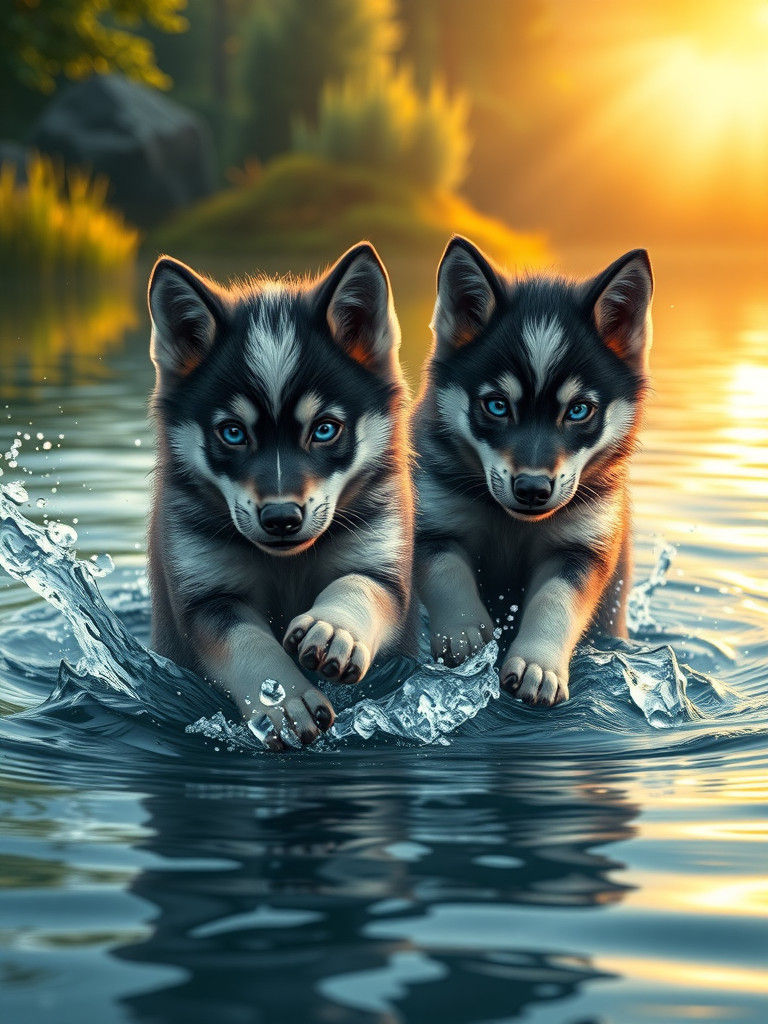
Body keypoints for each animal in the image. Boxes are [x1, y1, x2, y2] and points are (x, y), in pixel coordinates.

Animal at [147, 242, 414, 749]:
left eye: (325, 429)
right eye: (233, 433)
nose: (281, 518)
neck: (288, 562)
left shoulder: (383, 564)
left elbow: (358, 586)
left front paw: (333, 628)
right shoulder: (204, 599)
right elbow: (245, 641)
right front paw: (284, 698)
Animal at [413, 236, 653, 707]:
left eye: (578, 410)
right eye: (497, 405)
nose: (532, 488)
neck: (514, 523)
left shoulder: (582, 548)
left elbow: (556, 602)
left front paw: (537, 665)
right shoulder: (431, 520)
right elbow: (446, 571)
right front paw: (464, 631)